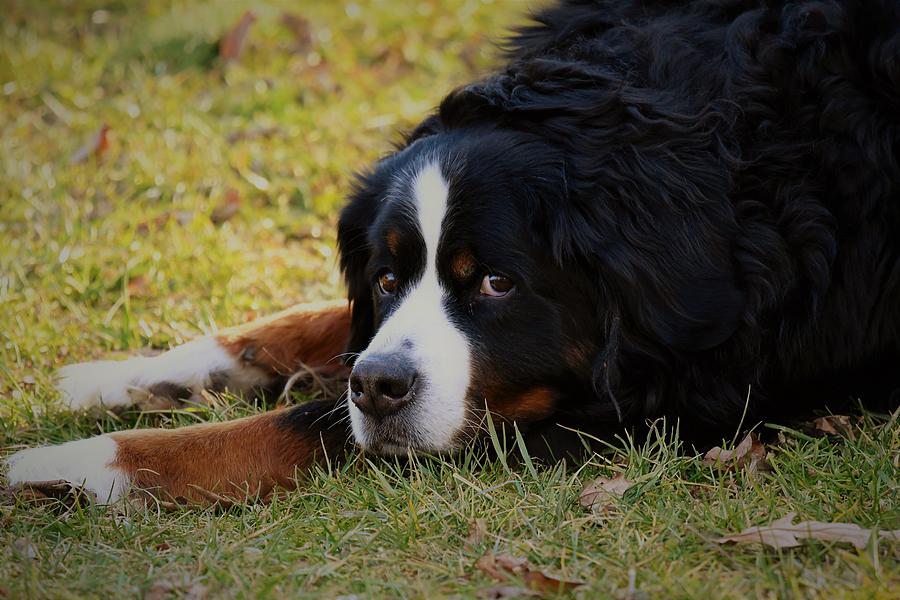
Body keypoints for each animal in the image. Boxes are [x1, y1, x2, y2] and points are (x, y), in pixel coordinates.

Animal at [3, 0, 896, 506]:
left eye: (498, 283)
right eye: (388, 278)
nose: (380, 388)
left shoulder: (666, 397)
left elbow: (307, 423)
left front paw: (83, 464)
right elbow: (321, 324)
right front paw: (136, 374)